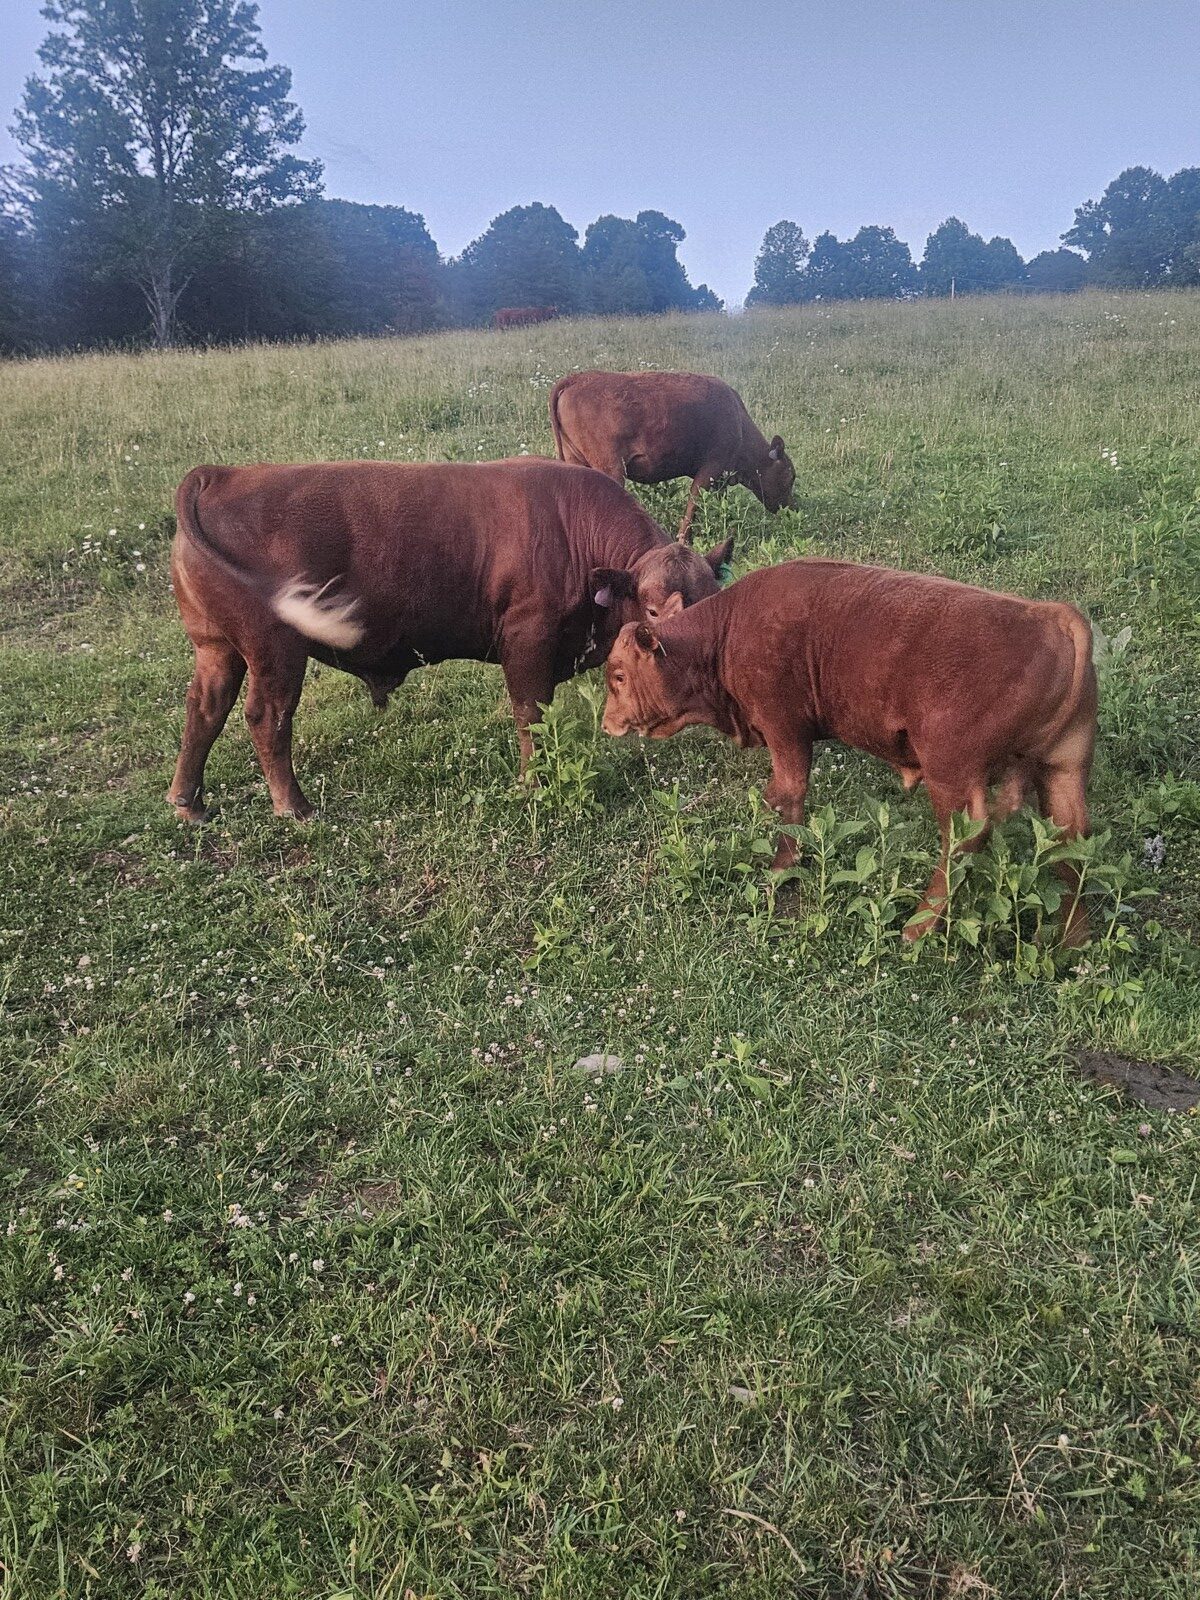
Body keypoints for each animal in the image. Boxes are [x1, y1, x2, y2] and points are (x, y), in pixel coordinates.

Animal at [167, 458, 733, 822]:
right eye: (654, 610)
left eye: (714, 597)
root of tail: (221, 475)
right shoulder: (527, 639)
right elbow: (530, 713)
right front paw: (533, 783)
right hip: (275, 649)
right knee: (267, 717)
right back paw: (294, 807)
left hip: (216, 647)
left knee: (204, 709)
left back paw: (189, 804)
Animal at [549, 369, 796, 541]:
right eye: (790, 476)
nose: (791, 508)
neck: (739, 422)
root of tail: (576, 379)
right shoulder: (709, 470)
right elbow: (693, 506)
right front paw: (684, 541)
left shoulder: (720, 479)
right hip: (611, 468)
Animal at [601, 559, 1097, 945]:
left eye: (619, 675)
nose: (607, 723)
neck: (724, 631)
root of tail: (1052, 616)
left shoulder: (786, 730)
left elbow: (787, 795)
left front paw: (781, 867)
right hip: (1062, 771)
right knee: (1070, 845)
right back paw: (1072, 942)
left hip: (952, 773)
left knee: (968, 834)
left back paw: (918, 927)